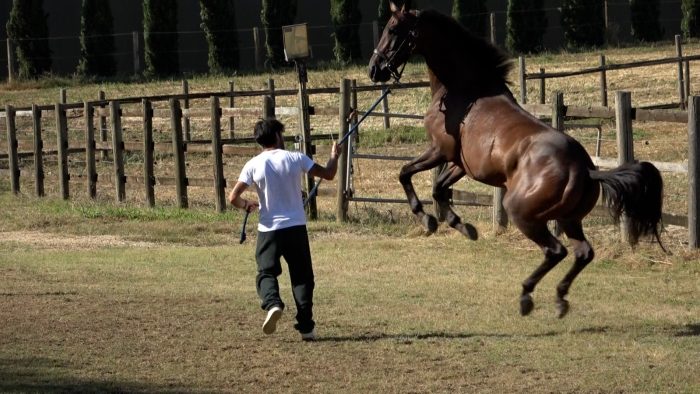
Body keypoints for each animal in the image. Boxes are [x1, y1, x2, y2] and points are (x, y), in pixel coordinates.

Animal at [370, 2, 664, 318]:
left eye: (392, 29)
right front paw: (463, 227)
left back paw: (527, 296)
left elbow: (405, 173)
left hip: (523, 212)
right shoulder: (461, 164)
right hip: (569, 219)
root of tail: (585, 169)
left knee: (555, 251)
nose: (374, 70)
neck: (466, 91)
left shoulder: (440, 151)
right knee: (583, 253)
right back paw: (559, 299)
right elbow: (438, 189)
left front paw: (427, 219)